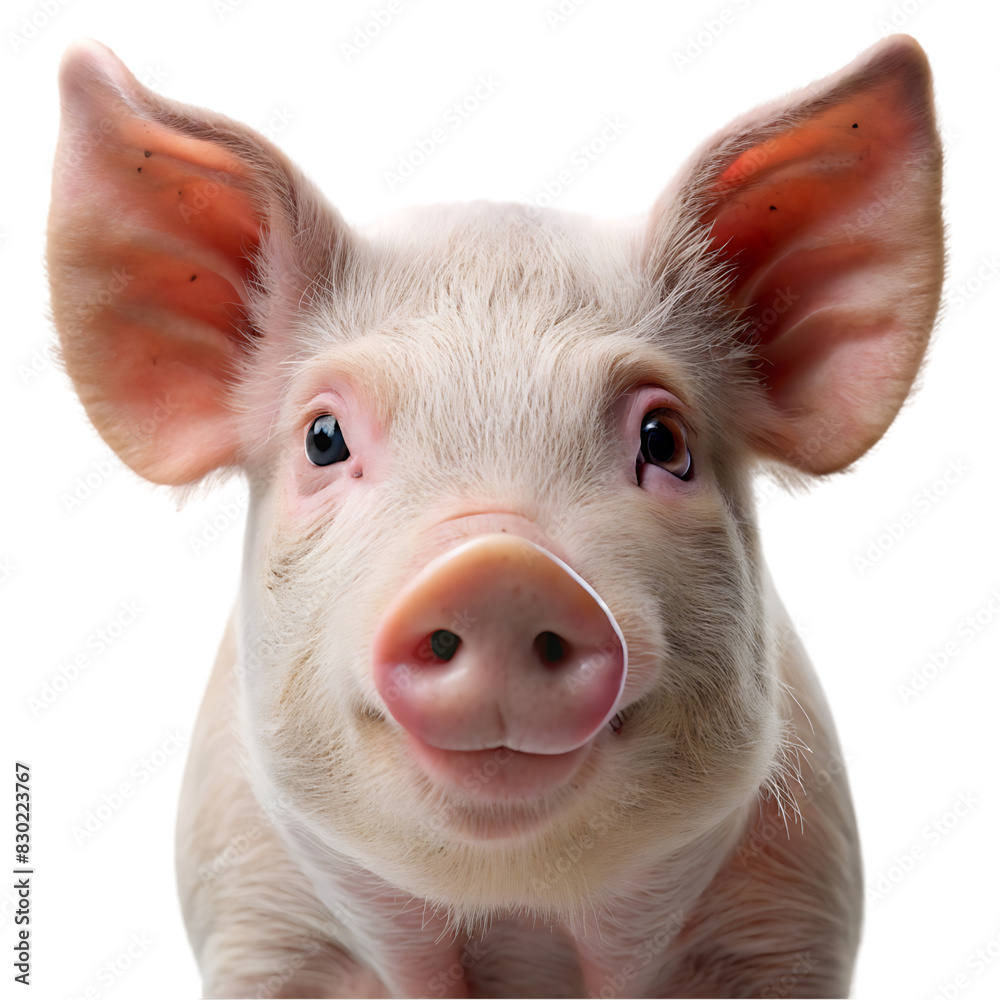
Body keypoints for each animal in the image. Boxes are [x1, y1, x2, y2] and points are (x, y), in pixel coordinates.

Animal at [47, 34, 943, 998]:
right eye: (323, 438)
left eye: (664, 440)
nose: (502, 573)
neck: (519, 928)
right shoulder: (254, 925)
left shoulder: (796, 920)